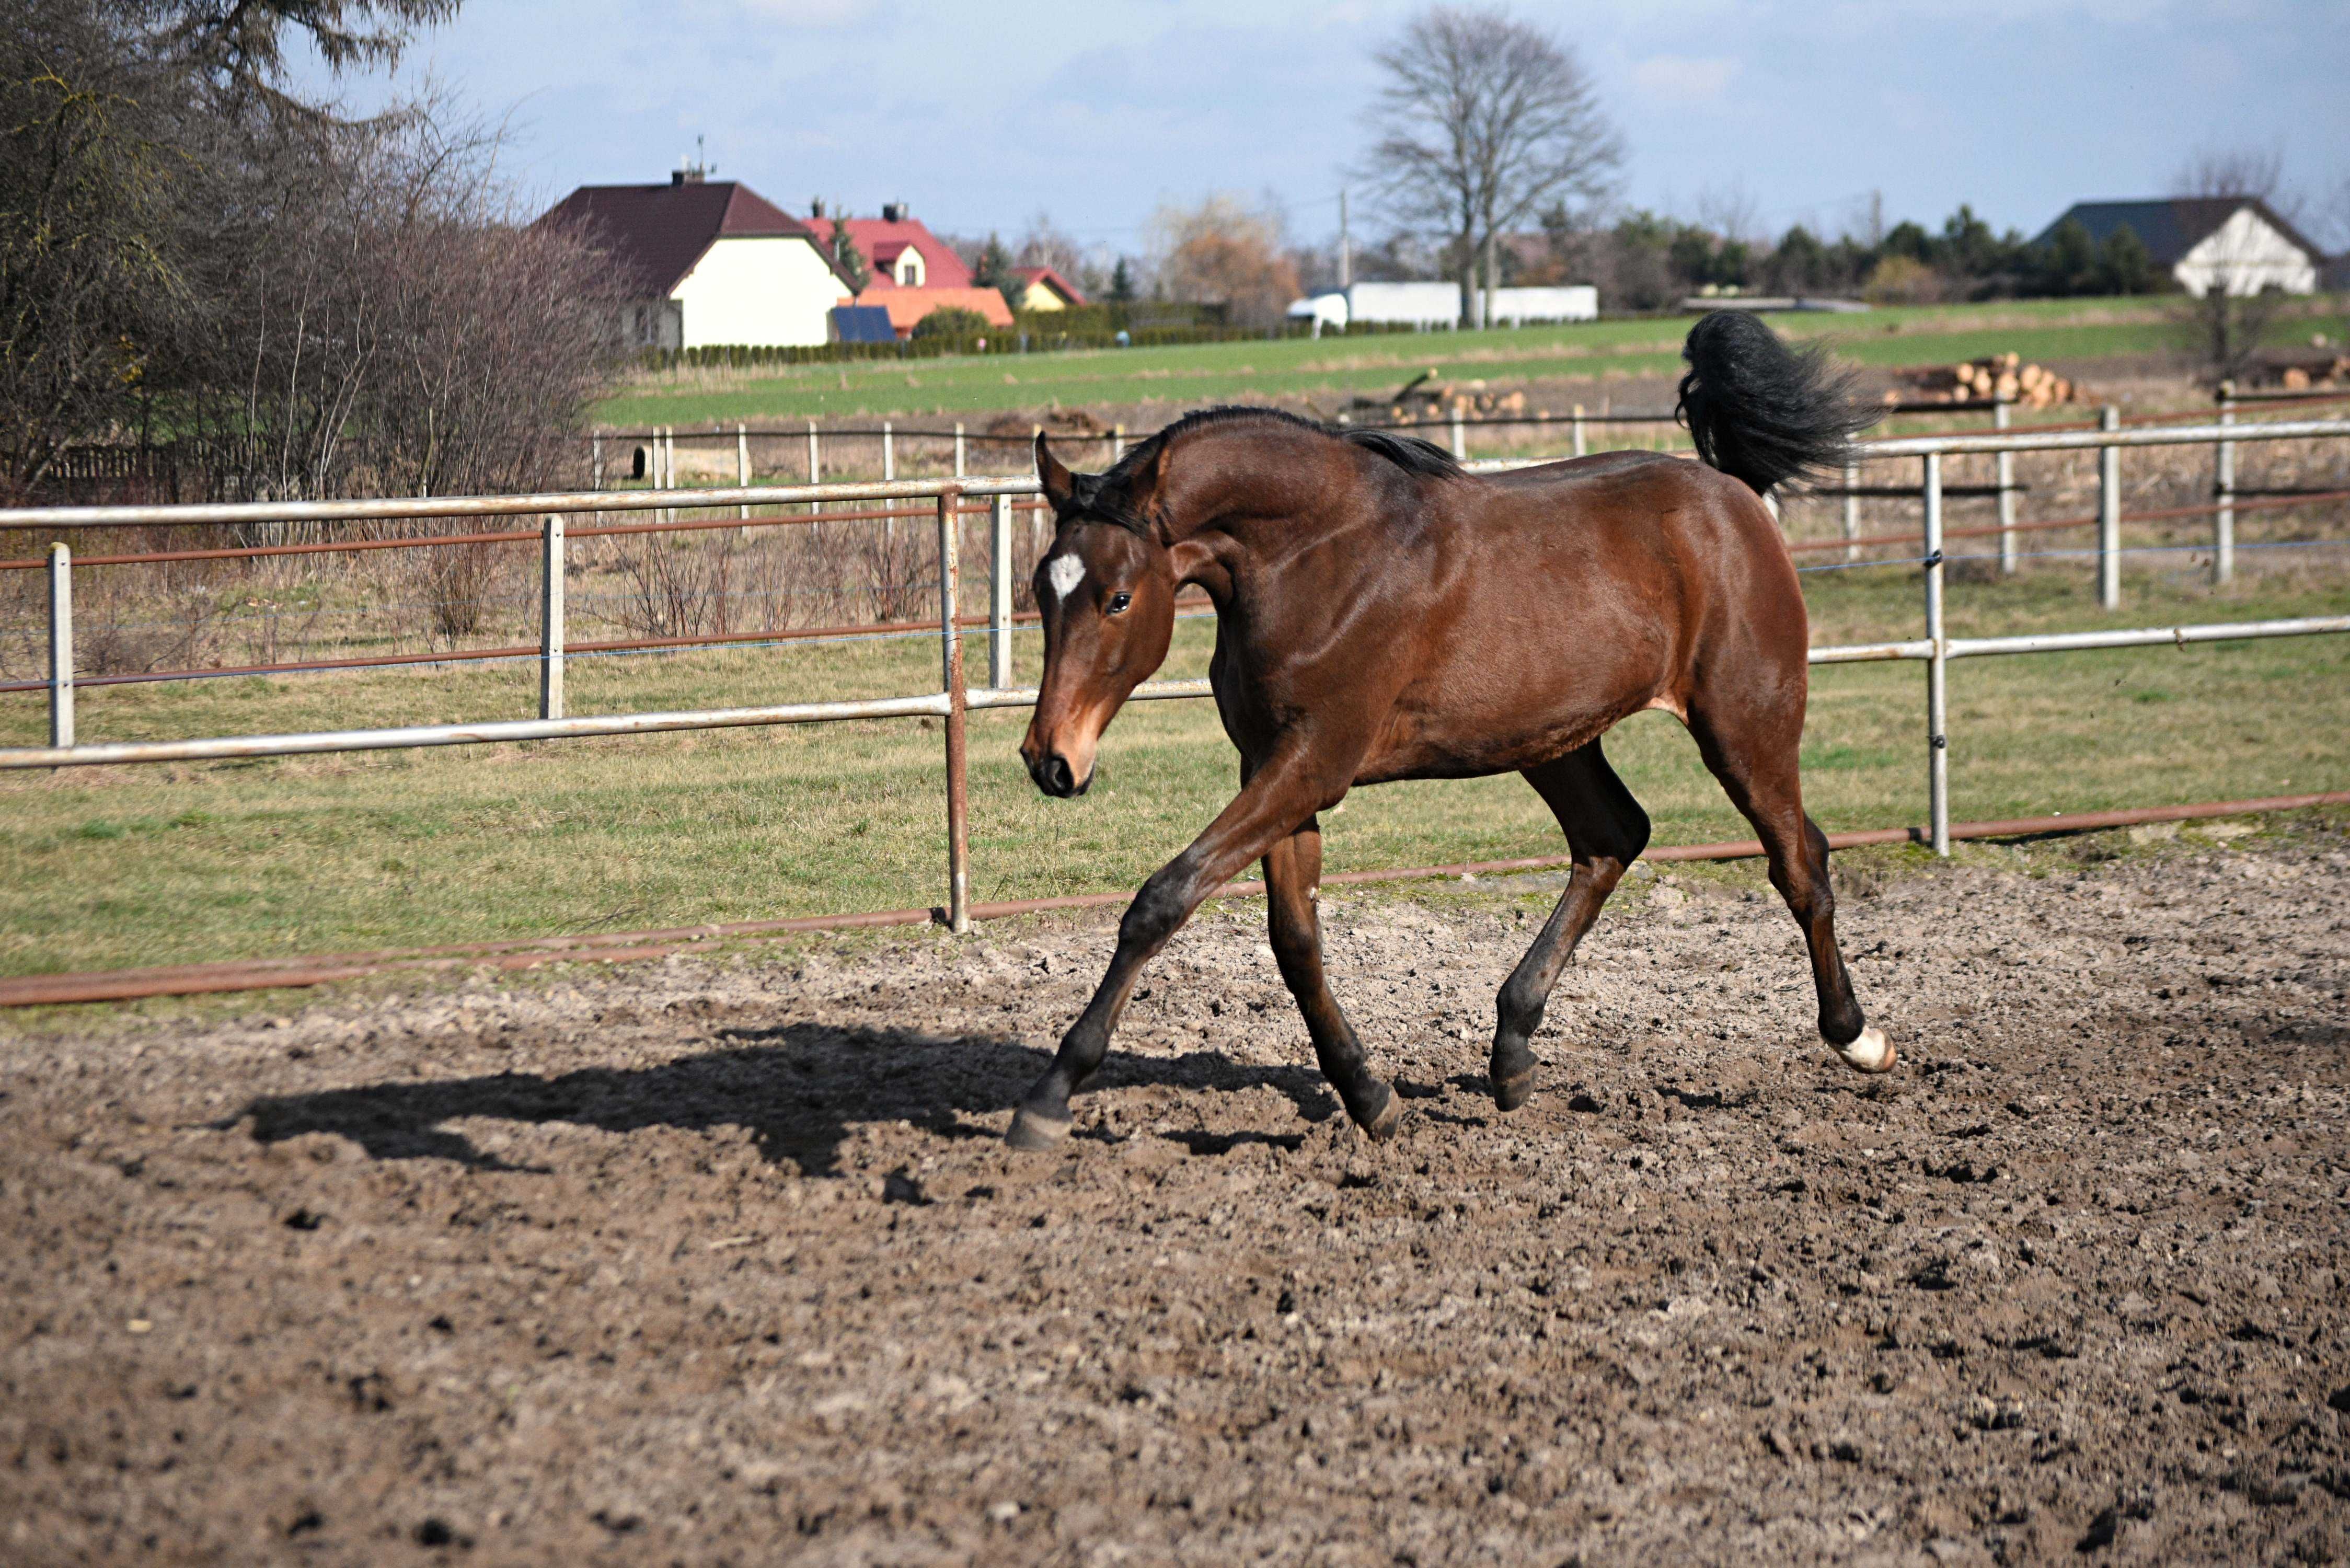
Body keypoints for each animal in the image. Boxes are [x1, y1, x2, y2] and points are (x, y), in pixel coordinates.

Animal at [1010, 315, 1889, 1151]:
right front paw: (1371, 1098)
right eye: (1042, 589)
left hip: (1744, 723)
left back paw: (1858, 1038)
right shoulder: (1271, 768)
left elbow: (1163, 899)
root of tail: (1737, 497)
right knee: (1613, 837)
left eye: (1119, 598)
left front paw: (1050, 1097)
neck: (1315, 558)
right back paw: (1512, 1054)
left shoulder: (1314, 762)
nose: (1051, 761)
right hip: (1556, 741)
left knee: (1798, 860)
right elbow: (1295, 941)